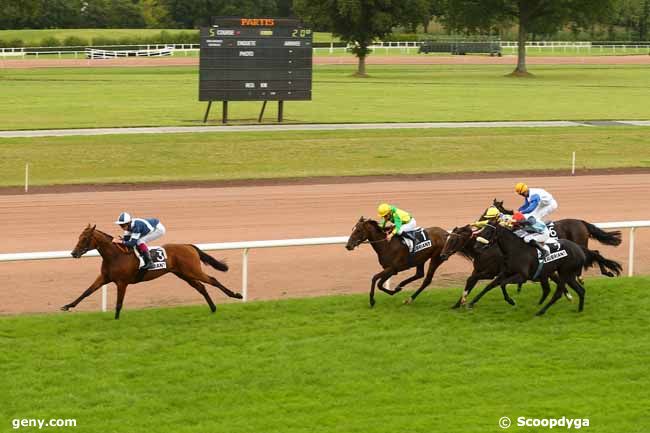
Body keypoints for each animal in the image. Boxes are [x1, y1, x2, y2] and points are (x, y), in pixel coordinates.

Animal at [63, 226, 242, 318]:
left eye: (85, 238)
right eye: (79, 237)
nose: (73, 253)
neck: (115, 256)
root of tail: (188, 245)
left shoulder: (122, 282)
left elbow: (119, 303)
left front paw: (116, 319)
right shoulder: (104, 278)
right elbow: (86, 292)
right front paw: (67, 306)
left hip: (192, 271)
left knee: (212, 280)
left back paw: (236, 295)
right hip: (184, 274)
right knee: (202, 287)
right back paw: (213, 308)